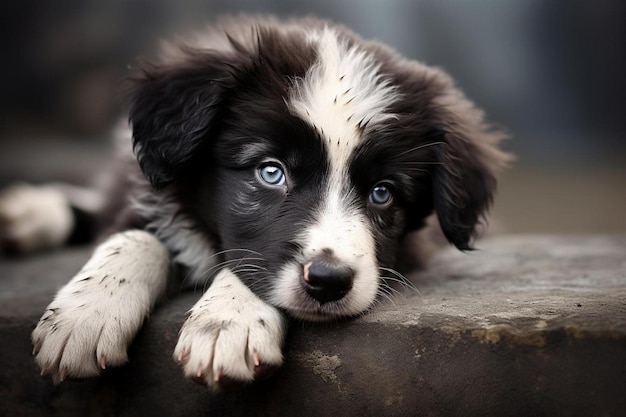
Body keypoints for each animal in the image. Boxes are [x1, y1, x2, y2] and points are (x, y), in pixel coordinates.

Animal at [0, 14, 508, 388]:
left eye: (382, 193)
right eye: (270, 172)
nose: (329, 281)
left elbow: (245, 265)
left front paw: (227, 323)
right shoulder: (152, 190)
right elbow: (134, 236)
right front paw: (87, 314)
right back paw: (27, 213)